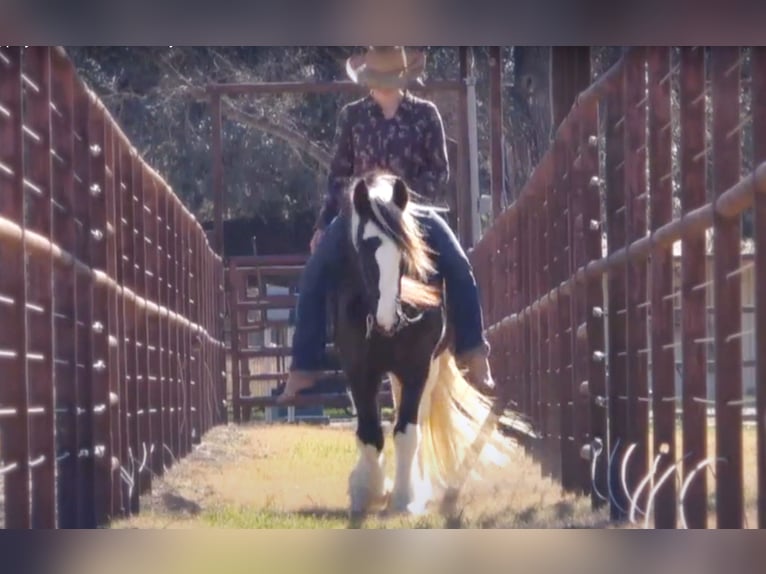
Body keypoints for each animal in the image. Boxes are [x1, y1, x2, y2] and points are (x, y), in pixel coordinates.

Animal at [336, 171, 536, 516]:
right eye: (363, 246)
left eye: (406, 252)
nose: (388, 316)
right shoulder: (358, 370)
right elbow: (369, 433)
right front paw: (367, 490)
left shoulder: (417, 367)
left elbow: (406, 430)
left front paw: (404, 498)